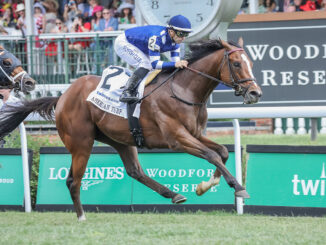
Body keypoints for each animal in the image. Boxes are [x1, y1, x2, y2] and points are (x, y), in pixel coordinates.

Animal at [0, 38, 262, 220]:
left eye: (250, 63)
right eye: (236, 63)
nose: (255, 93)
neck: (184, 91)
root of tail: (63, 96)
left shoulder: (195, 134)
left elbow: (222, 152)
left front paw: (205, 185)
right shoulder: (177, 138)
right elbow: (211, 155)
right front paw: (238, 188)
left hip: (120, 140)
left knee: (135, 171)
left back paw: (174, 194)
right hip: (81, 143)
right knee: (74, 181)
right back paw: (82, 217)